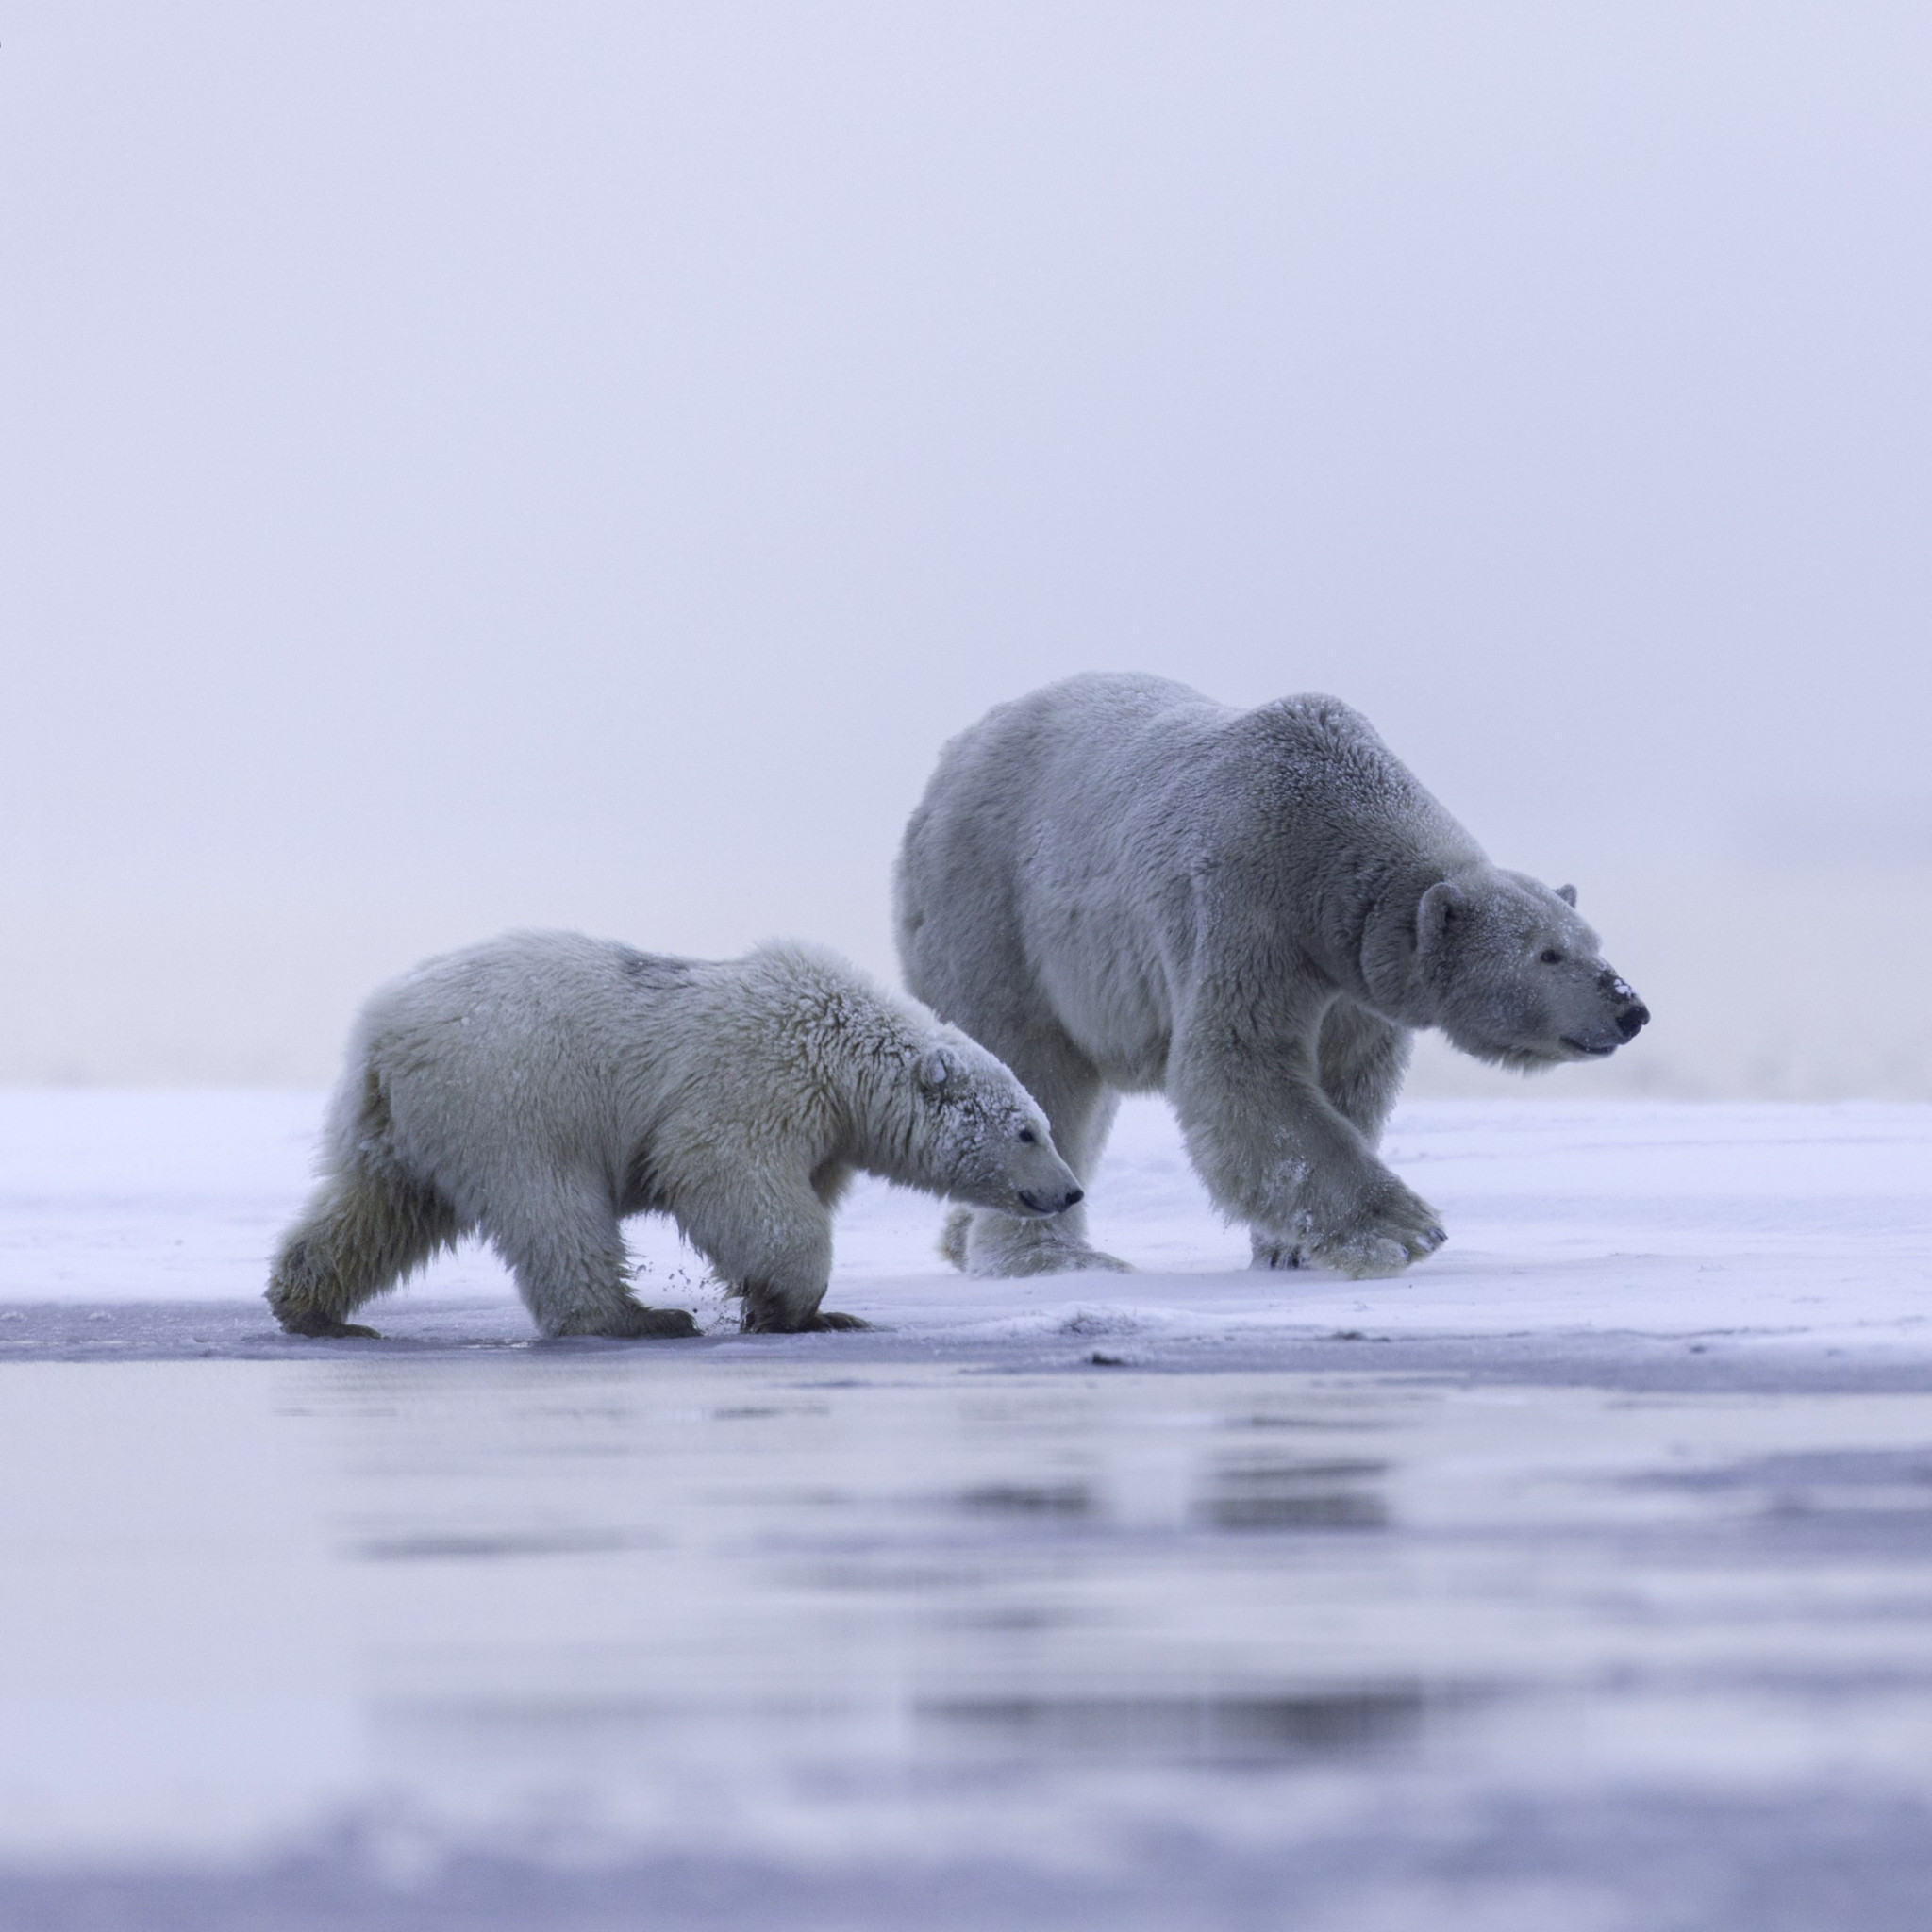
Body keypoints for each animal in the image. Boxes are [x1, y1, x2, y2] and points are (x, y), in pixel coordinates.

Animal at [266, 932, 1083, 1339]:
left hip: (405, 1125)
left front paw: (804, 1310)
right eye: (1026, 1131)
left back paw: (312, 1310)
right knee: (554, 1206)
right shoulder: (756, 1081)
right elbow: (729, 1177)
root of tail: (381, 1035)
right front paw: (801, 1309)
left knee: (375, 1208)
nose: (1071, 1191)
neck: (838, 1047)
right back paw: (637, 1318)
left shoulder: (825, 1128)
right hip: (510, 1095)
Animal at [894, 673, 1649, 1281]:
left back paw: (963, 1242)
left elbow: (1348, 1078)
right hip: (996, 912)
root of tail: (949, 760)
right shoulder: (1250, 900)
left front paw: (1289, 1249)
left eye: (1592, 942)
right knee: (1032, 1064)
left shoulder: (1352, 977)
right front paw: (1402, 1229)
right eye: (1549, 954)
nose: (1630, 1010)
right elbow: (1239, 1063)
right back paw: (1051, 1256)